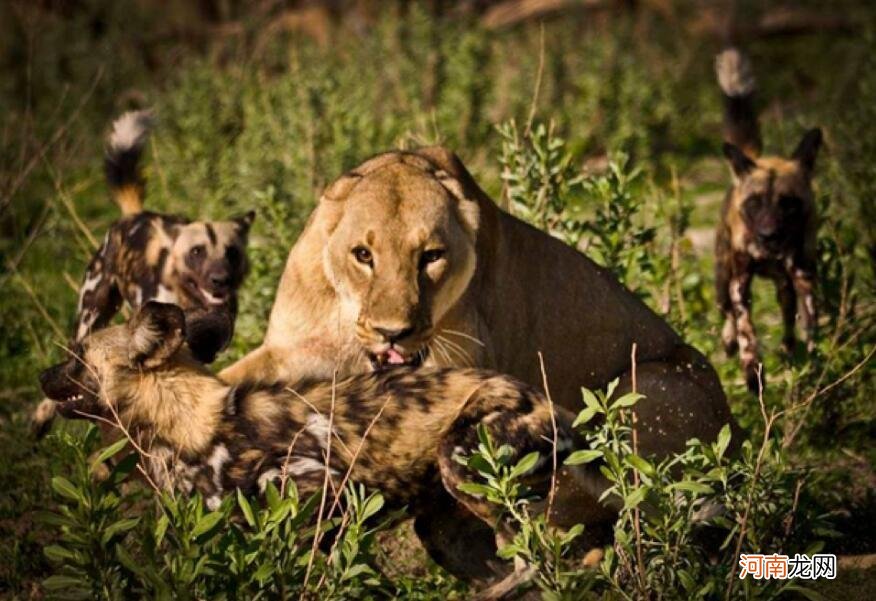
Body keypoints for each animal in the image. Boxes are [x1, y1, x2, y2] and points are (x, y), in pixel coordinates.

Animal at [31, 109, 253, 436]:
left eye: (232, 252)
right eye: (196, 252)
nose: (219, 280)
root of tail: (134, 215)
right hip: (89, 317)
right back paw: (41, 419)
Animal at [39, 302, 596, 596]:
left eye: (77, 356)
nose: (41, 376)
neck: (184, 422)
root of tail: (547, 401)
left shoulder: (327, 493)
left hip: (468, 469)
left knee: (543, 558)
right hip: (442, 528)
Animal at [716, 48, 824, 394]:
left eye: (788, 204)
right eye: (754, 203)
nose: (768, 235)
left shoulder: (803, 275)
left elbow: (810, 322)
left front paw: (814, 362)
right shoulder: (740, 281)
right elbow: (746, 328)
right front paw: (752, 372)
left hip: (784, 284)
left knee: (788, 313)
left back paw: (789, 350)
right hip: (723, 277)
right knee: (727, 313)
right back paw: (729, 343)